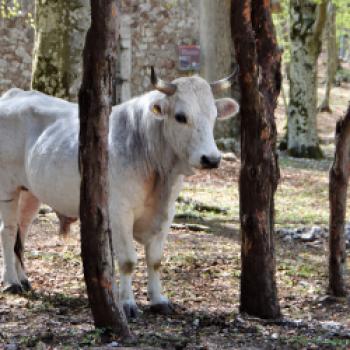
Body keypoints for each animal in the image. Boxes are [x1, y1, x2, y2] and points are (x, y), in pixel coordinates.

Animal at [0, 68, 238, 318]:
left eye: (214, 115)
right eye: (181, 116)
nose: (211, 159)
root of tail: (15, 94)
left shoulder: (167, 214)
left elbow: (155, 260)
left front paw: (158, 300)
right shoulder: (119, 213)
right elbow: (128, 261)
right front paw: (127, 303)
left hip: (30, 192)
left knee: (22, 232)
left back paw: (23, 279)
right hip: (7, 186)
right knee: (9, 231)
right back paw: (12, 282)